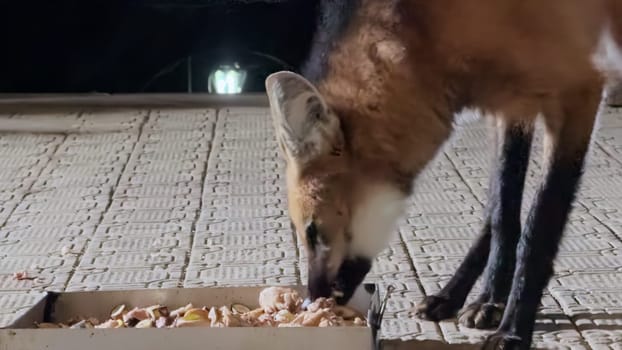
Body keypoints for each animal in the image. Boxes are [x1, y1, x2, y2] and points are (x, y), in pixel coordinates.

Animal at [264, 1, 622, 348]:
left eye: (312, 231)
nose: (311, 301)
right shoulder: (511, 101)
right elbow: (501, 212)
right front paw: (480, 300)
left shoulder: (578, 91)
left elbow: (539, 225)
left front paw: (513, 329)